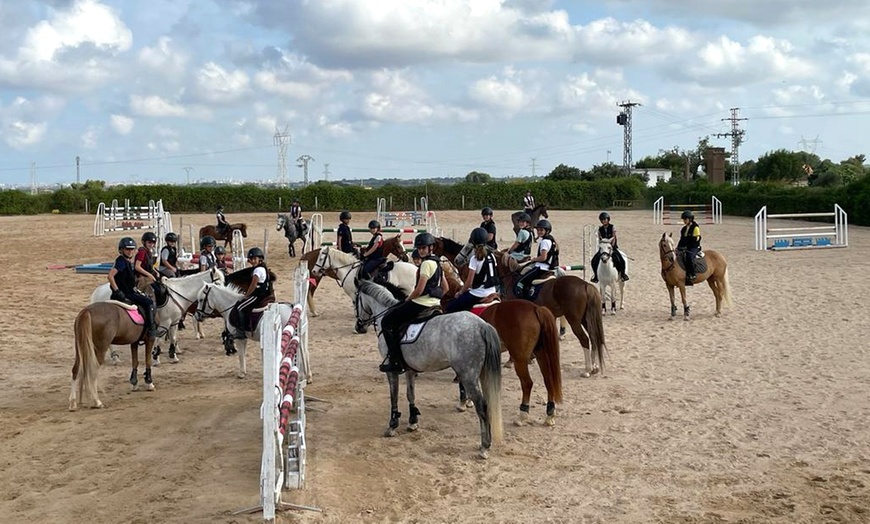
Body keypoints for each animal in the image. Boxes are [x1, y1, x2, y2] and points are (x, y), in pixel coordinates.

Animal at [354, 278, 504, 458]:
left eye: (355, 300)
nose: (359, 327)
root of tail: (482, 325)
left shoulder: (392, 370)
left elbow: (394, 396)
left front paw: (392, 425)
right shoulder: (410, 370)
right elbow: (410, 394)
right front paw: (412, 422)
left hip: (468, 376)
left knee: (482, 407)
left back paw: (484, 446)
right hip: (480, 374)